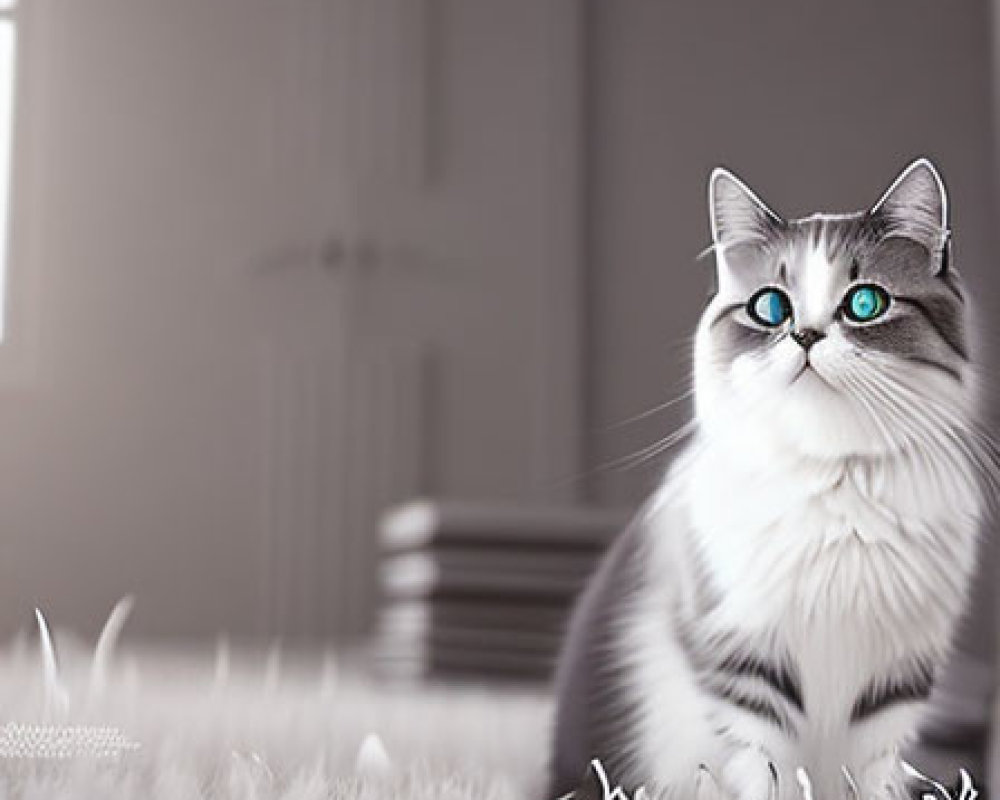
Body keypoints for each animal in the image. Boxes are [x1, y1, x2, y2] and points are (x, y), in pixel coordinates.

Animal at [552, 158, 988, 800]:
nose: (805, 335)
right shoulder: (746, 663)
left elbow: (877, 778)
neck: (836, 482)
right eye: (771, 309)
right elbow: (766, 772)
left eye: (865, 302)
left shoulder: (896, 683)